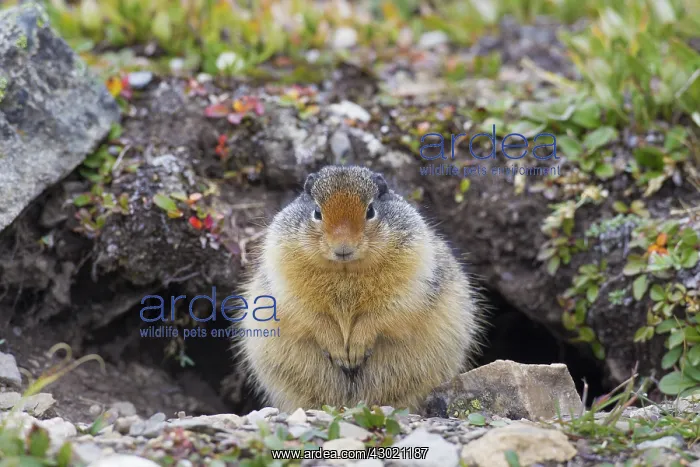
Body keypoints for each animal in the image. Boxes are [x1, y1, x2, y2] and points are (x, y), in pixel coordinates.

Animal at [235, 165, 484, 412]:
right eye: (317, 212)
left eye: (371, 210)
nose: (343, 247)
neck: (345, 271)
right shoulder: (287, 289)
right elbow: (313, 318)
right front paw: (340, 352)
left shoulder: (407, 288)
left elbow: (379, 317)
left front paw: (355, 351)